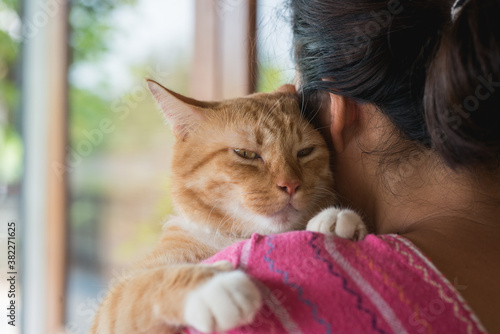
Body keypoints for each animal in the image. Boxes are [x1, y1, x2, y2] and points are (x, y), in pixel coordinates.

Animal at [92, 79, 368, 332]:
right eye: (246, 154)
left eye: (305, 151)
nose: (290, 185)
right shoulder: (114, 303)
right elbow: (149, 281)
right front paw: (213, 287)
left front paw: (335, 220)